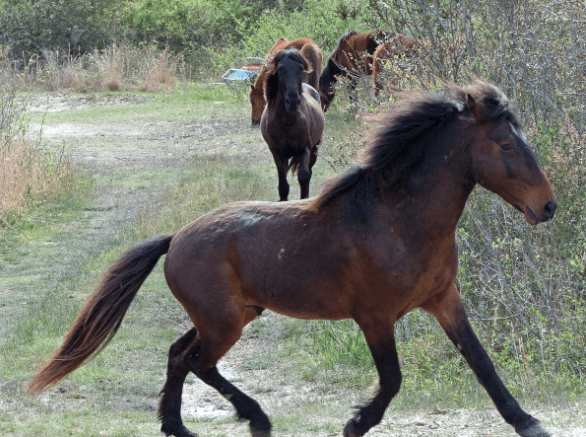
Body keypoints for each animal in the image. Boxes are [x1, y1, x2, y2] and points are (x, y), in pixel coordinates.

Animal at [28, 82, 556, 436]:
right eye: (505, 144)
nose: (547, 206)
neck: (398, 221)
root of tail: (176, 237)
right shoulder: (375, 317)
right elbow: (391, 381)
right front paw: (356, 422)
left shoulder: (444, 300)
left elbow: (481, 362)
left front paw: (528, 422)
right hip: (224, 323)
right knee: (198, 362)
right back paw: (256, 417)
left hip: (229, 315)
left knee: (179, 355)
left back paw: (178, 426)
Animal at [260, 49, 324, 201]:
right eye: (280, 69)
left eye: (300, 69)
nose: (293, 101)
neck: (286, 122)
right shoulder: (277, 152)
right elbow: (283, 185)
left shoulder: (304, 149)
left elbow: (304, 176)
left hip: (314, 149)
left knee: (309, 172)